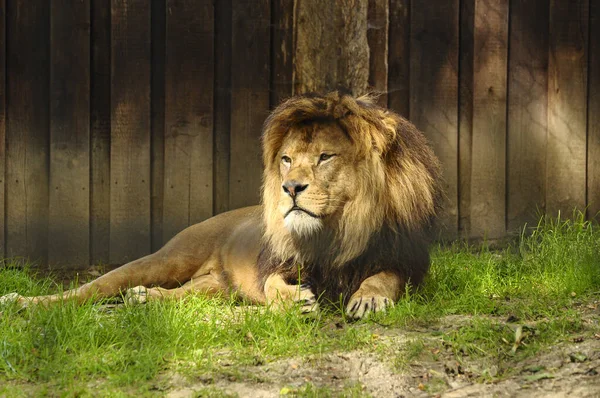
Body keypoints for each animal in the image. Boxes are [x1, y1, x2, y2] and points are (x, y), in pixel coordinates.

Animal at [0, 91, 440, 318]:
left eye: (325, 157)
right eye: (286, 159)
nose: (290, 187)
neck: (338, 230)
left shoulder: (405, 259)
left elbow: (386, 276)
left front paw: (369, 297)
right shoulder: (278, 264)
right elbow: (274, 284)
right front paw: (295, 300)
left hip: (214, 288)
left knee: (185, 295)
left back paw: (144, 299)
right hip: (165, 259)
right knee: (84, 291)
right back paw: (20, 302)